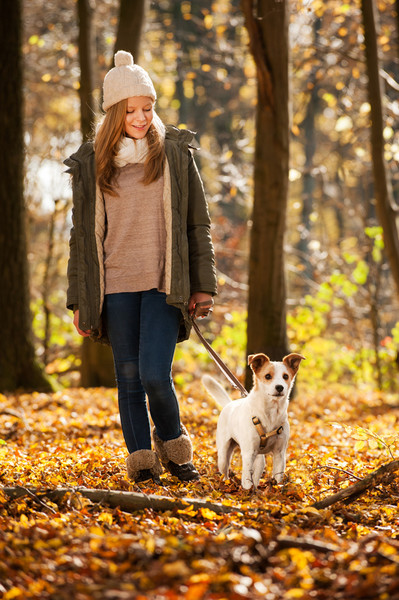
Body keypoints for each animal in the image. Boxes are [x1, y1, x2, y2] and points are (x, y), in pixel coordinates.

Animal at [203, 354, 306, 490]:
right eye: (267, 376)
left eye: (285, 376)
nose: (280, 387)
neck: (271, 413)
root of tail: (229, 404)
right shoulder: (248, 453)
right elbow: (247, 478)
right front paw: (247, 492)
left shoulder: (279, 453)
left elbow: (278, 476)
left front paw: (277, 489)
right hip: (224, 454)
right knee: (224, 470)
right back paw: (225, 483)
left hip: (260, 460)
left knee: (256, 476)